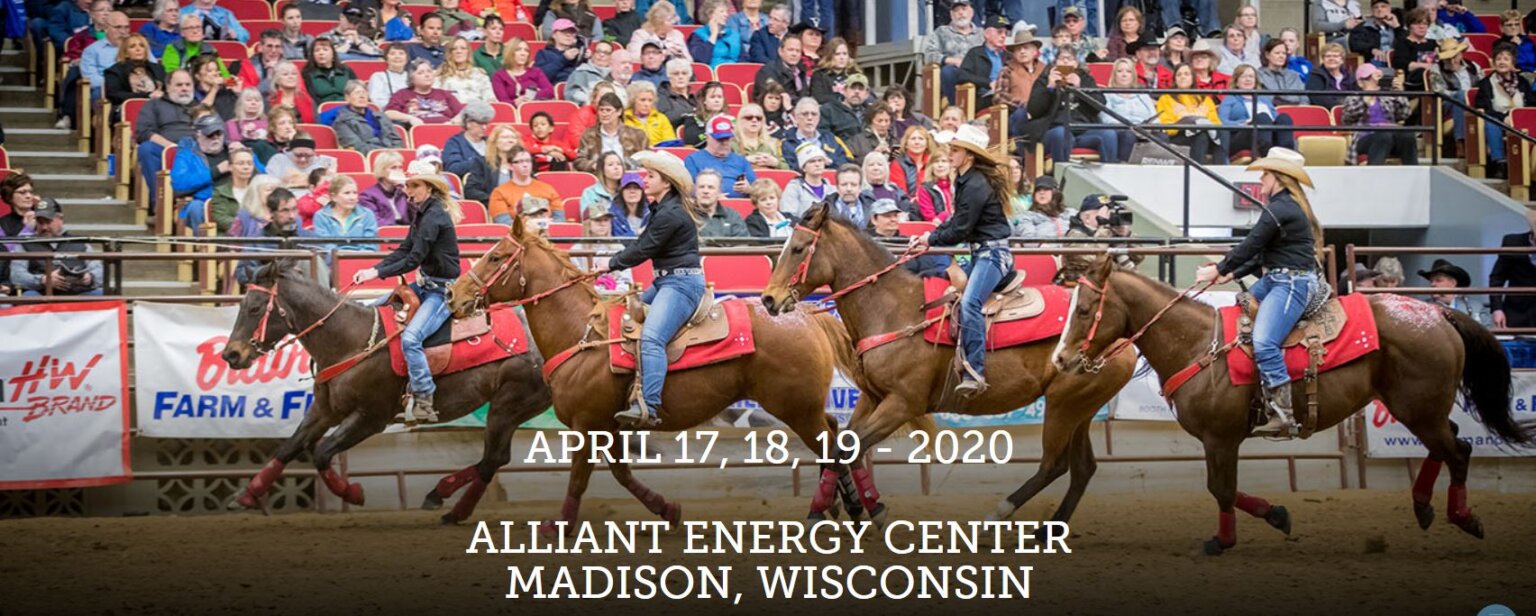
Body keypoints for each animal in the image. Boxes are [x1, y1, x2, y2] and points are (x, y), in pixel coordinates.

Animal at [216, 259, 552, 522]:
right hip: (512, 408)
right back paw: (440, 494)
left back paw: (452, 508)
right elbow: (289, 448)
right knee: (495, 459)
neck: (351, 338)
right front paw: (245, 496)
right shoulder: (324, 410)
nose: (231, 355)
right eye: (242, 305)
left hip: (507, 405)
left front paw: (353, 493)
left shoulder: (371, 417)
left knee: (492, 459)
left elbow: (322, 453)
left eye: (256, 308)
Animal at [448, 216, 866, 528]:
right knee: (836, 436)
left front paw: (560, 525)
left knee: (833, 447)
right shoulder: (609, 427)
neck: (582, 333)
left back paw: (843, 509)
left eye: (497, 256)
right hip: (803, 406)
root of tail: (805, 314)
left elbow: (580, 477)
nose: (455, 295)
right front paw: (668, 509)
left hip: (794, 408)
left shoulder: (587, 424)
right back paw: (840, 506)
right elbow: (622, 474)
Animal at [758, 202, 1136, 528]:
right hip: (1081, 408)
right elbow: (842, 446)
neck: (892, 308)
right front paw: (854, 507)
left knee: (1055, 464)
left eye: (798, 249)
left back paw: (1001, 515)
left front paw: (846, 510)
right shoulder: (873, 397)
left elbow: (844, 450)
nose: (769, 299)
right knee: (1083, 468)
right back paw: (1049, 529)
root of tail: (1126, 339)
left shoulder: (903, 404)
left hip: (1064, 404)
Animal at [1050, 256, 1529, 553]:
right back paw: (1424, 506)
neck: (1199, 343)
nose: (1060, 359)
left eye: (1085, 309)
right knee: (1448, 445)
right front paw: (1277, 515)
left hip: (1419, 409)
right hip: (1420, 409)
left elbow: (1221, 489)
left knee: (1458, 450)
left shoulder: (1220, 438)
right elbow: (1224, 489)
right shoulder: (1219, 440)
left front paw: (1223, 541)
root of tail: (1437, 314)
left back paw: (1462, 517)